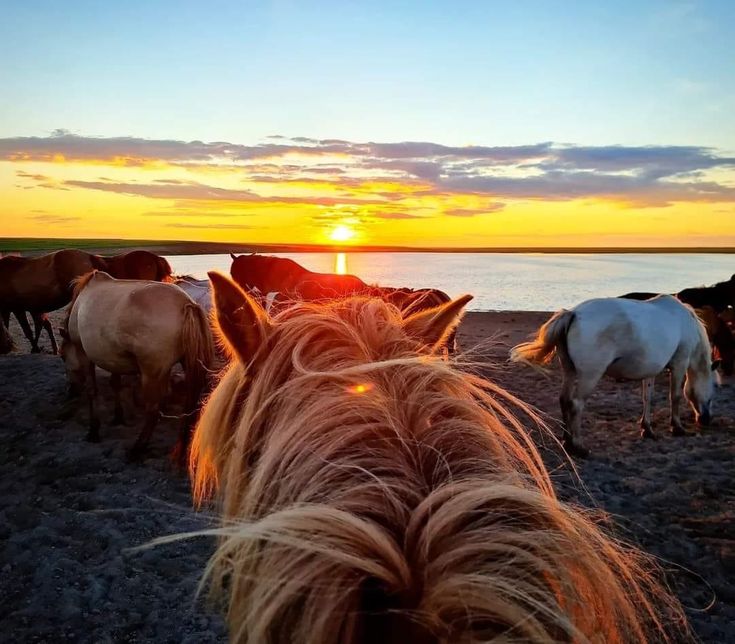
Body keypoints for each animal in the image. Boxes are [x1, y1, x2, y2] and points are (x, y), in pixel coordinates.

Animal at [512, 294, 720, 456]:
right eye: (713, 392)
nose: (706, 419)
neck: (686, 323)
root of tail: (574, 313)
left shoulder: (650, 370)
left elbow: (647, 397)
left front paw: (647, 429)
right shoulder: (679, 363)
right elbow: (675, 396)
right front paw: (677, 427)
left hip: (569, 371)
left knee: (564, 400)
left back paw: (566, 441)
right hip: (590, 375)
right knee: (576, 404)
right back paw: (578, 447)